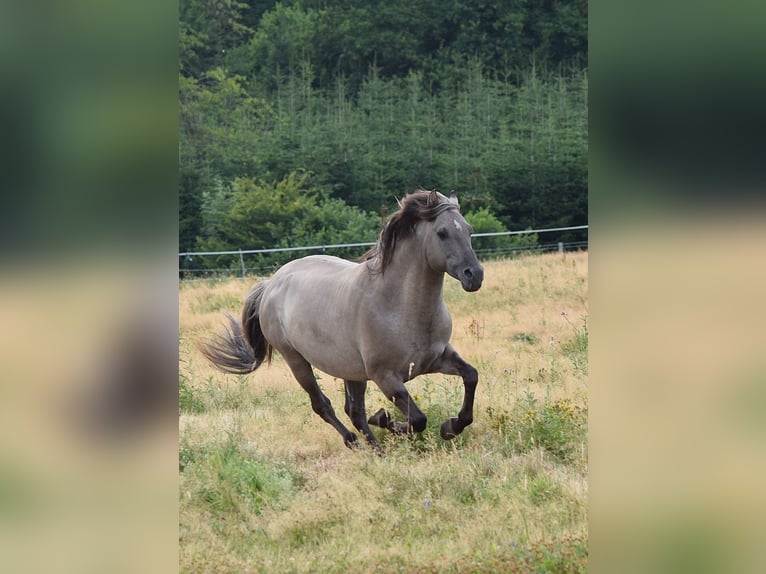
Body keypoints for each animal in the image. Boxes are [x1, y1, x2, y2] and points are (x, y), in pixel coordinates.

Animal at [198, 189, 484, 451]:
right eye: (442, 233)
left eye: (469, 230)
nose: (475, 275)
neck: (401, 307)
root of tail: (271, 283)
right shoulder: (385, 376)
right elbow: (417, 419)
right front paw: (387, 420)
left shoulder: (436, 358)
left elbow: (471, 376)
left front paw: (451, 426)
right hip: (297, 360)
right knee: (324, 405)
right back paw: (357, 442)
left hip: (351, 370)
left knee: (353, 410)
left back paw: (374, 447)